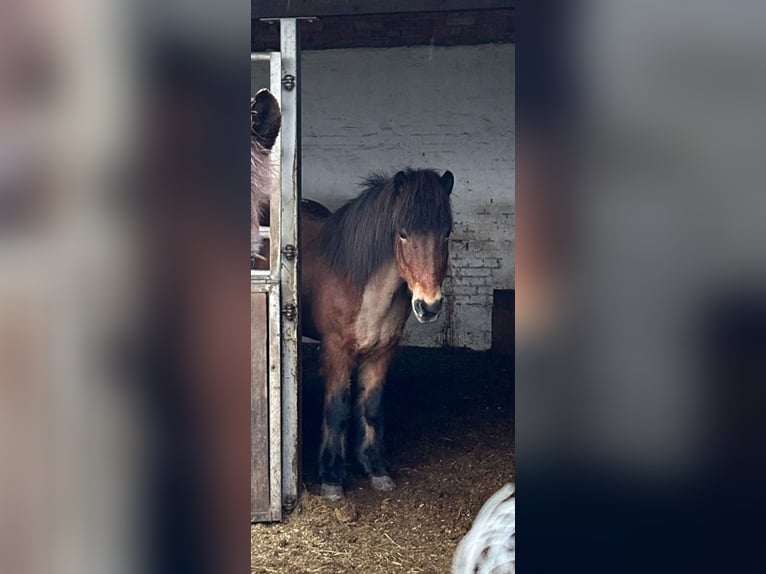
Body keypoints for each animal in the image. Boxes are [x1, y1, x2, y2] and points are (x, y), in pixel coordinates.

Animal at [300, 168, 454, 499]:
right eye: (403, 233)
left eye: (446, 233)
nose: (430, 306)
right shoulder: (337, 351)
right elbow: (338, 408)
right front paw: (332, 478)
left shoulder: (383, 351)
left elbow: (371, 406)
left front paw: (375, 469)